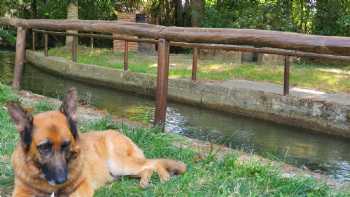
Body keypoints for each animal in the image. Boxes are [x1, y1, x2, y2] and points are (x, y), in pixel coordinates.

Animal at [7, 88, 186, 197]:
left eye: (66, 144)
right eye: (44, 147)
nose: (61, 180)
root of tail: (116, 132)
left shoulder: (83, 187)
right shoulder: (20, 192)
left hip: (120, 164)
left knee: (153, 162)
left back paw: (164, 176)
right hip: (121, 171)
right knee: (146, 168)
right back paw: (144, 181)